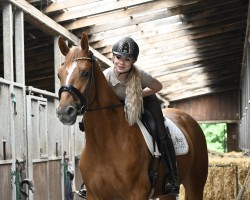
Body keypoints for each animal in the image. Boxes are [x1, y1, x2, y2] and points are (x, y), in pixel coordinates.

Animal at [55, 32, 208, 199]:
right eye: (59, 75)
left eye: (85, 73)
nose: (64, 112)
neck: (105, 145)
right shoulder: (93, 194)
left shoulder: (137, 193)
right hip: (167, 193)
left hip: (195, 184)